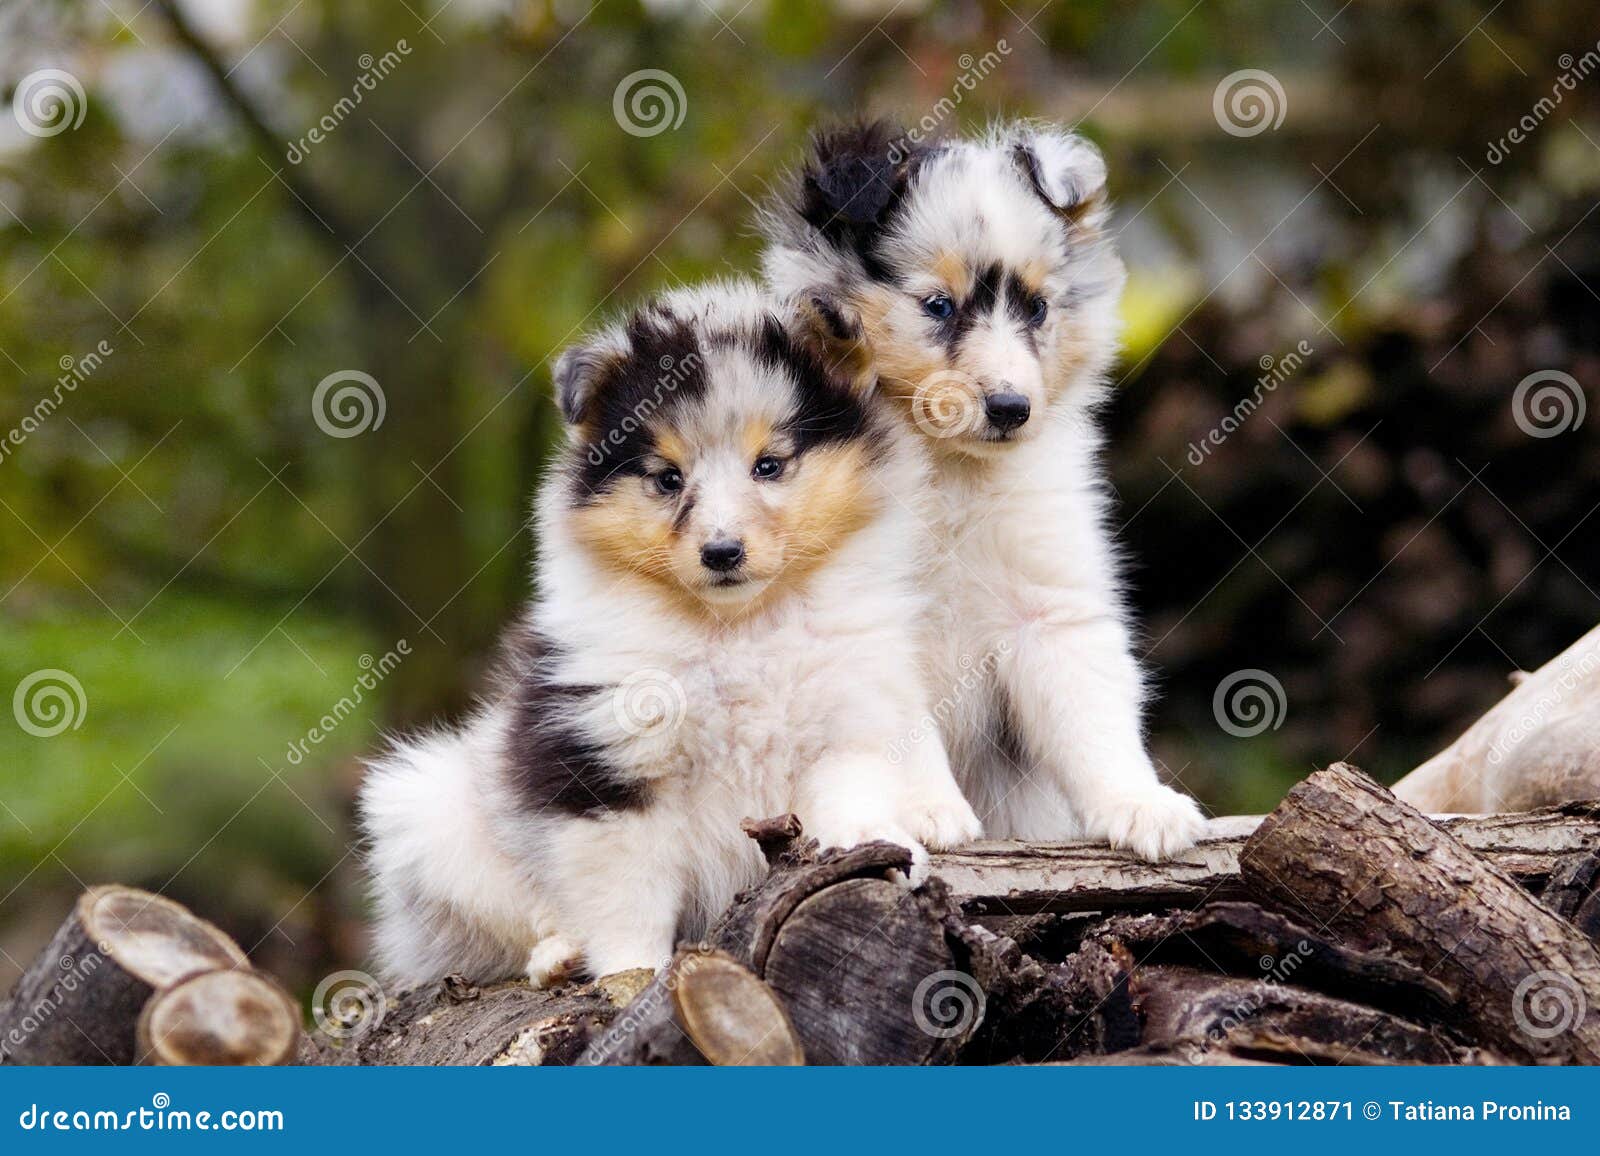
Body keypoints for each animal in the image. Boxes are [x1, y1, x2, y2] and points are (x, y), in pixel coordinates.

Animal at [758, 124, 1203, 858]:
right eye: (939, 306)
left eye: (1040, 308)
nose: (1011, 408)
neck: (951, 474)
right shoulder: (869, 618)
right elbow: (897, 727)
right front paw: (924, 810)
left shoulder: (1049, 604)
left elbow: (1093, 712)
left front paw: (1142, 804)